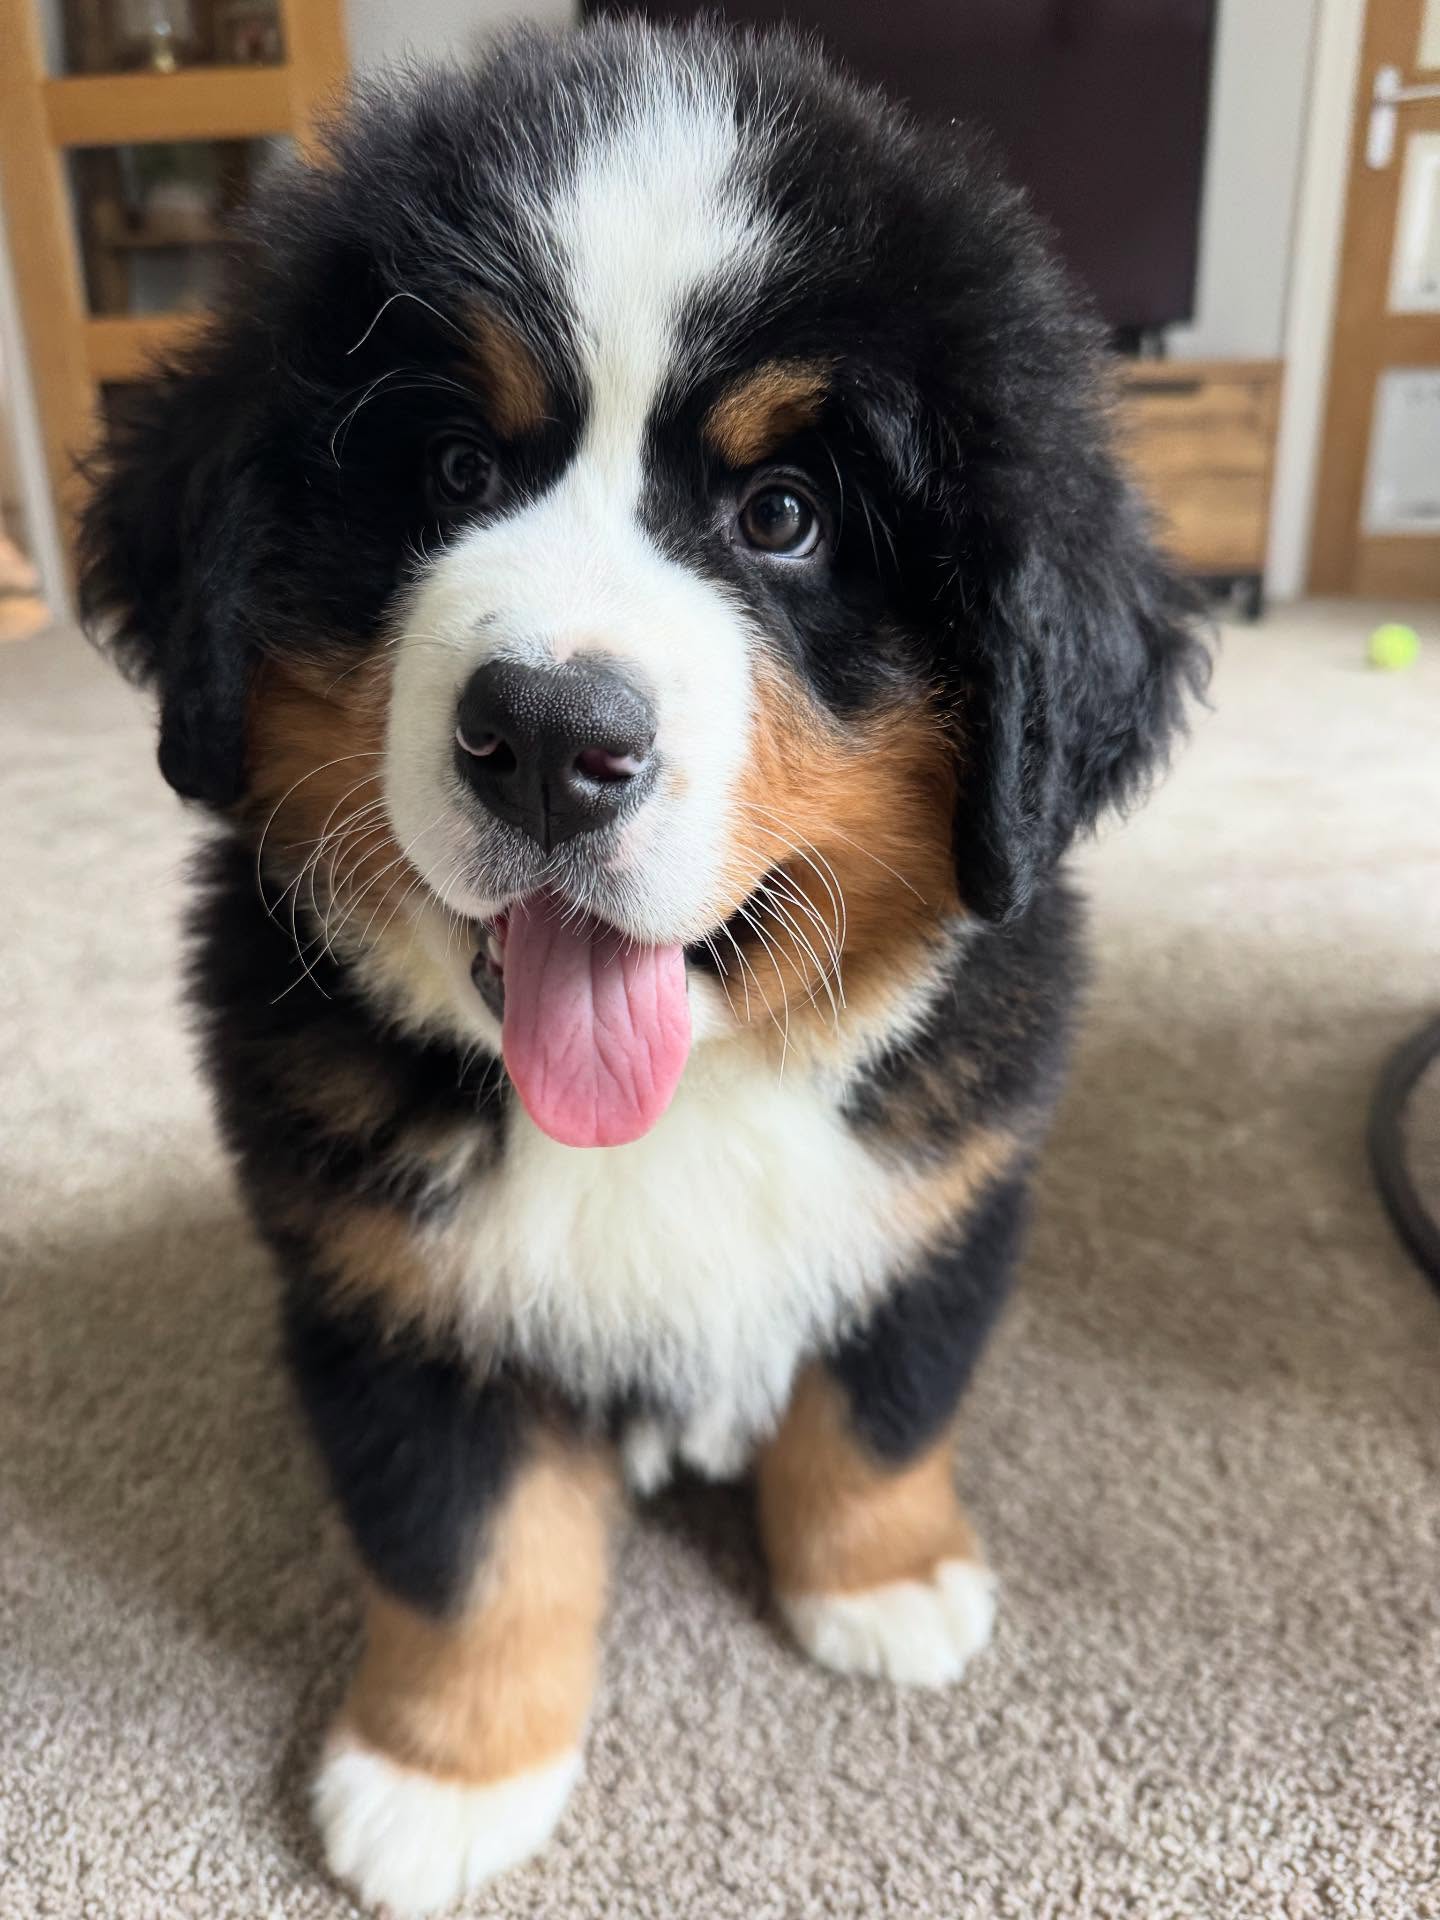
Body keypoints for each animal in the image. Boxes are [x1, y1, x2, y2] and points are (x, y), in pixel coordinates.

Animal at [80, 21, 1207, 1913]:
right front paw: (442, 1778)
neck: (666, 1110)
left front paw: (883, 1581)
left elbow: (884, 1408)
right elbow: (465, 1543)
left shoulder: (946, 1189)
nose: (547, 738)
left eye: (784, 515)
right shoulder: (393, 1282)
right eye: (456, 473)